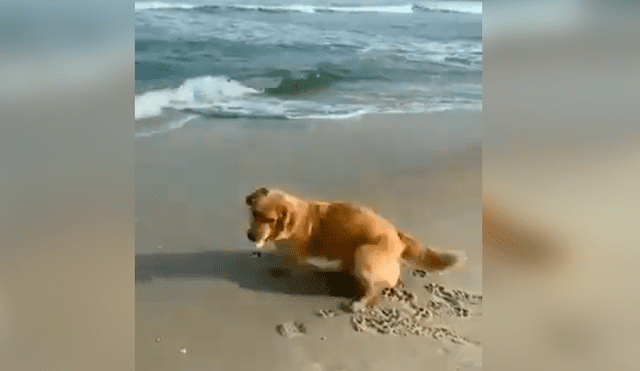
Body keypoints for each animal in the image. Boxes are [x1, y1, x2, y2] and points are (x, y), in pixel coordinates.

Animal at [245, 187, 464, 310]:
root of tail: (397, 235)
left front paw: (277, 269)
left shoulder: (293, 254)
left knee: (375, 291)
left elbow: (287, 263)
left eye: (270, 219)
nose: (250, 237)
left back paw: (359, 303)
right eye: (254, 213)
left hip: (364, 253)